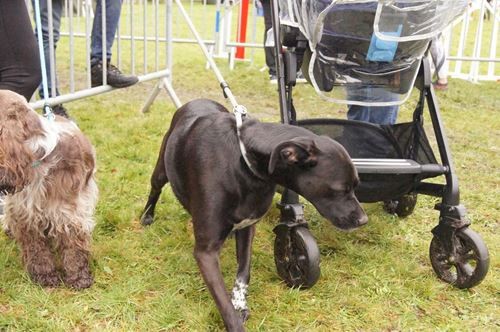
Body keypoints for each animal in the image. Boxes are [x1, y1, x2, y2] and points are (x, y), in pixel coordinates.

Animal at [0, 89, 97, 290]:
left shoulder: (70, 213)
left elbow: (74, 247)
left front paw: (79, 278)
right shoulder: (25, 213)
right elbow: (37, 250)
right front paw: (44, 277)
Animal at [141, 99, 368, 332]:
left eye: (356, 185)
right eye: (340, 189)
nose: (363, 220)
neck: (245, 162)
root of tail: (196, 101)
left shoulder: (247, 227)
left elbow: (243, 272)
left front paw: (239, 303)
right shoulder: (206, 252)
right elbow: (222, 301)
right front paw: (234, 319)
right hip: (161, 170)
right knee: (155, 189)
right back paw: (147, 216)